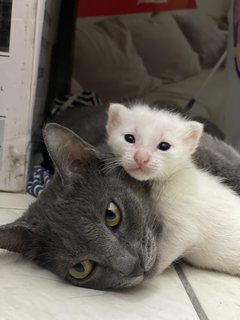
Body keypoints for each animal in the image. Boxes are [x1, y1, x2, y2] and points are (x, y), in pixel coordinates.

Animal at [106, 102, 240, 276]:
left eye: (164, 145)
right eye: (129, 138)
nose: (141, 158)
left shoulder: (183, 226)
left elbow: (167, 250)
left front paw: (150, 272)